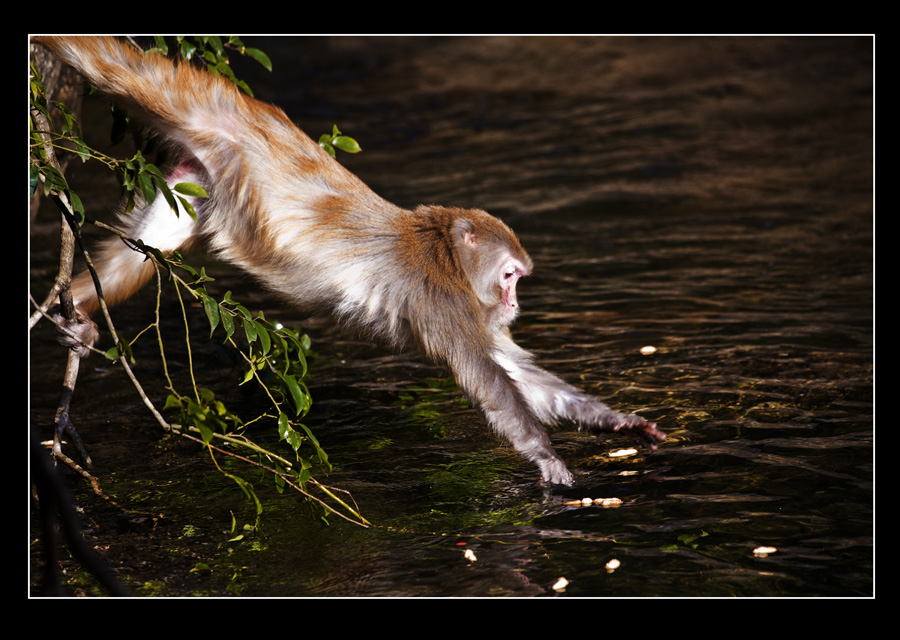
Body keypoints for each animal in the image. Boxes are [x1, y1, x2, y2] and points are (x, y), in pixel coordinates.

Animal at [31, 36, 664, 484]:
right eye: (511, 277)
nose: (512, 302)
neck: (442, 252)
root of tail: (245, 113)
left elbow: (521, 375)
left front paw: (619, 422)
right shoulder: (441, 296)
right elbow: (488, 379)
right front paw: (546, 459)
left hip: (200, 176)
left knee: (150, 246)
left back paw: (72, 311)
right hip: (198, 111)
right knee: (115, 66)